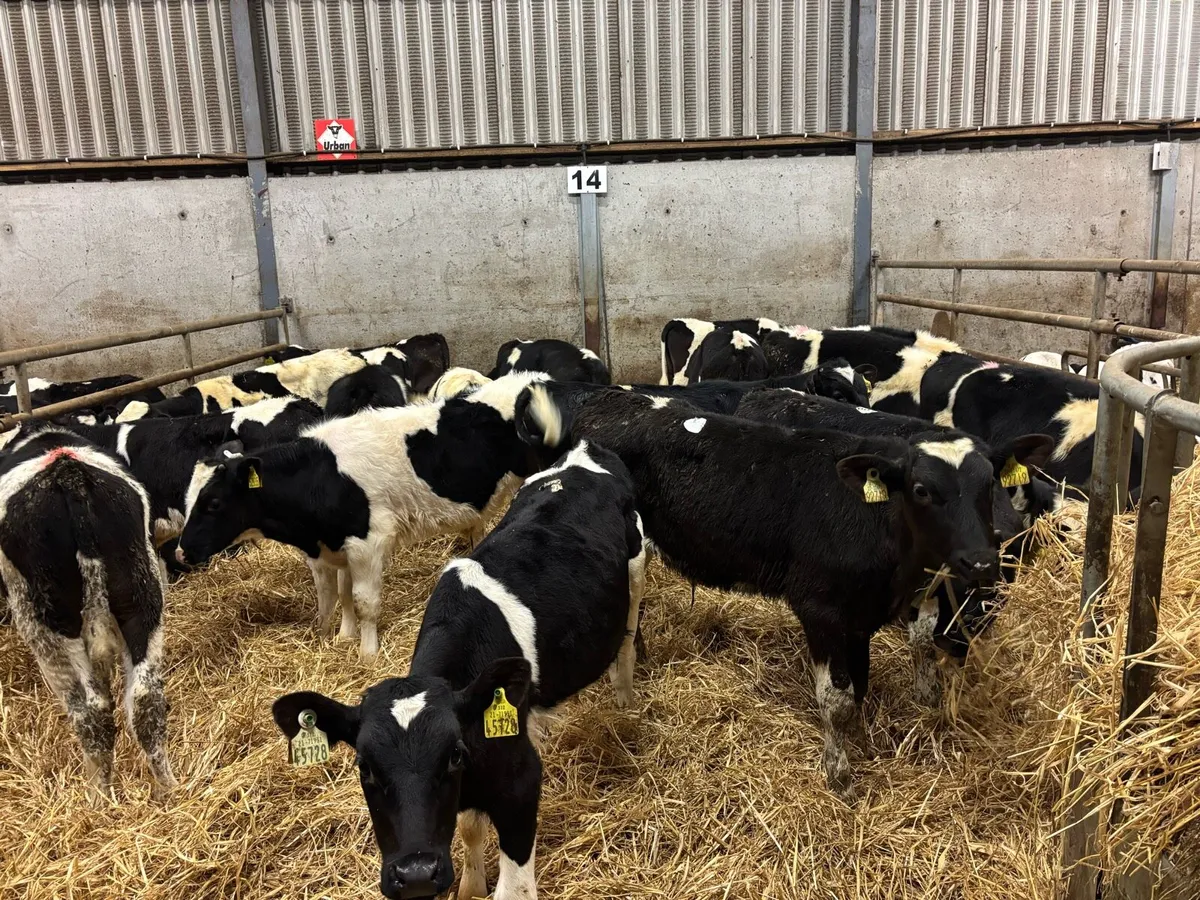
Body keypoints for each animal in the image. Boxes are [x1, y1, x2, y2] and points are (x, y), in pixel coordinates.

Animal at [0, 428, 176, 799]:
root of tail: (69, 475)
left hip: (47, 624)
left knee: (91, 713)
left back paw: (98, 798)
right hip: (143, 599)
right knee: (146, 699)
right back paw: (169, 788)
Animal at [176, 372, 568, 661]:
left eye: (213, 503)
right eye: (188, 499)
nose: (181, 552)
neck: (320, 476)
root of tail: (531, 378)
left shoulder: (368, 542)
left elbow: (365, 601)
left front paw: (367, 653)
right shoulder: (333, 547)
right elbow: (337, 595)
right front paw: (340, 636)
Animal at [271, 439, 645, 900]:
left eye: (451, 755)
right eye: (364, 766)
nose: (415, 873)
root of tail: (585, 449)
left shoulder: (521, 783)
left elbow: (514, 888)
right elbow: (469, 827)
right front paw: (470, 884)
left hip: (636, 571)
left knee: (626, 642)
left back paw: (623, 699)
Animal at [516, 382, 1051, 800]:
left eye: (989, 486)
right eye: (922, 491)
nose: (980, 560)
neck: (875, 522)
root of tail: (607, 398)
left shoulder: (866, 614)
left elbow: (863, 683)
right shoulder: (821, 610)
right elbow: (836, 700)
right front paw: (840, 774)